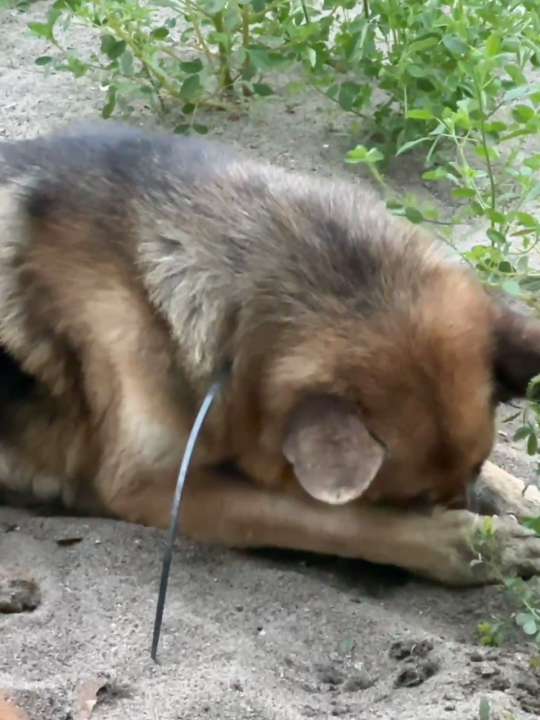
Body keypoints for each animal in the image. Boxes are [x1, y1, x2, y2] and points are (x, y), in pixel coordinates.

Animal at [0, 122, 540, 584]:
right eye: (408, 500)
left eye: (474, 472)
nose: (461, 506)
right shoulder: (153, 484)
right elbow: (337, 521)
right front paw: (472, 546)